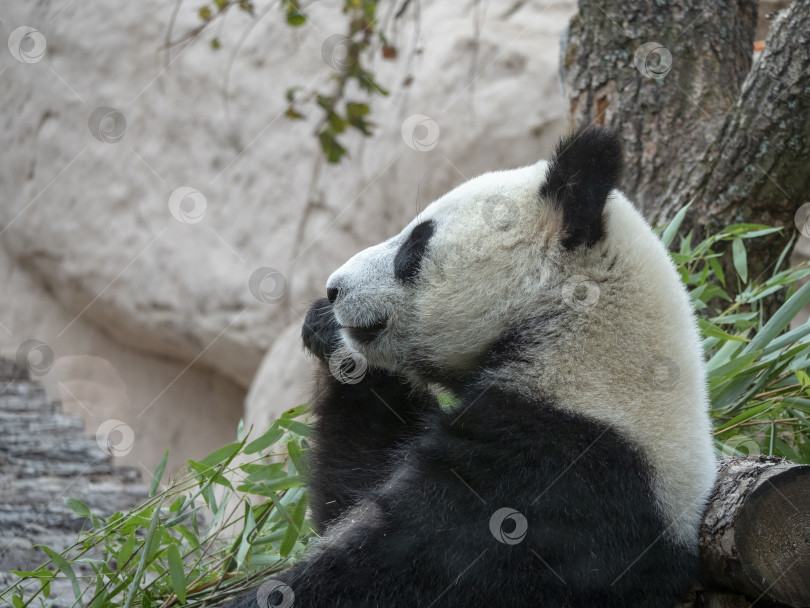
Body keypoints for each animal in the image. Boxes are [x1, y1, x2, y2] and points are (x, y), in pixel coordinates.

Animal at [224, 126, 716, 604]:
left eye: (416, 245)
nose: (333, 289)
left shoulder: (556, 473)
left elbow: (403, 564)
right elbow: (353, 488)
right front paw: (327, 332)